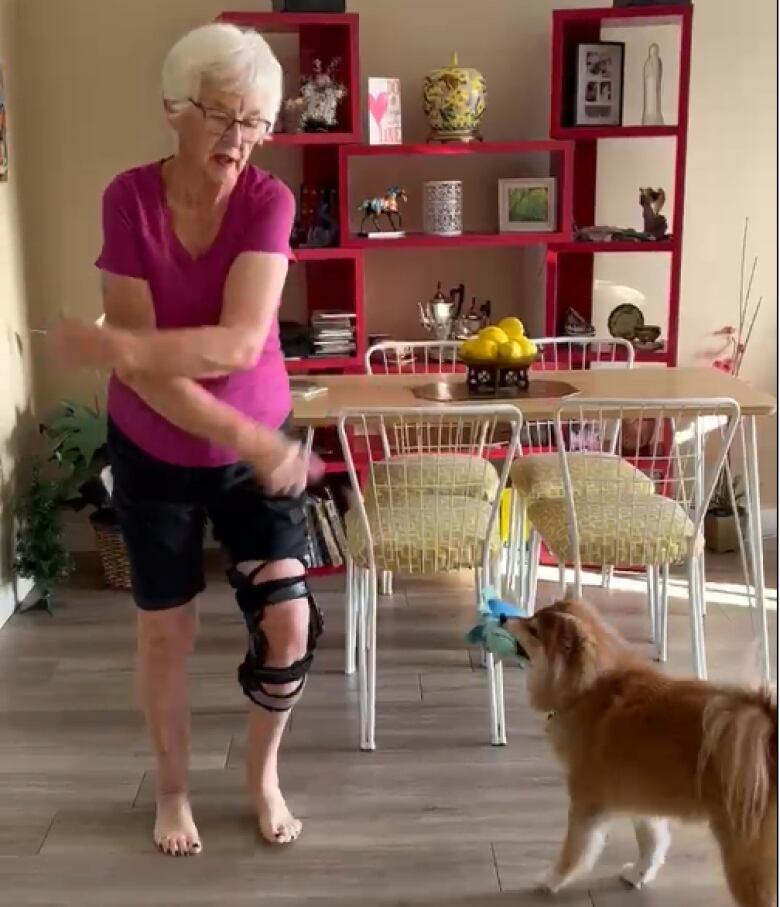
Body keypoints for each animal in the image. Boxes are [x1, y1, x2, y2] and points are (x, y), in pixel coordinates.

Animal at [506, 600, 772, 904]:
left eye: (534, 630)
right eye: (532, 617)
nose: (501, 617)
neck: (586, 689)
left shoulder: (587, 803)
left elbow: (573, 852)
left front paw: (551, 881)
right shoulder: (642, 800)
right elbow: (652, 843)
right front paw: (638, 875)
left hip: (744, 855)